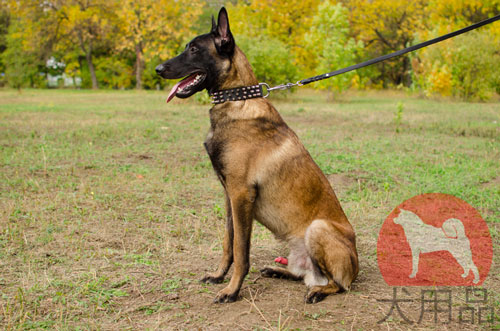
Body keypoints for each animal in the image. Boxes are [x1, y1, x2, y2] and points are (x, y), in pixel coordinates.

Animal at [156, 7, 360, 304]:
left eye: (194, 49)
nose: (158, 69)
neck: (236, 99)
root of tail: (356, 266)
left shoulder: (241, 194)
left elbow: (241, 251)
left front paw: (231, 290)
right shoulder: (229, 195)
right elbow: (228, 243)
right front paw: (218, 276)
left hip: (318, 228)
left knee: (337, 284)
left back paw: (318, 290)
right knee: (302, 274)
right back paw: (278, 271)